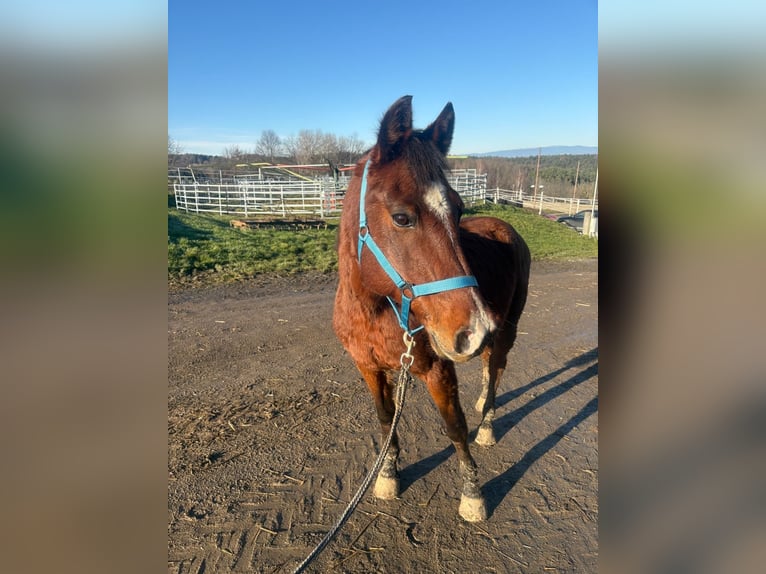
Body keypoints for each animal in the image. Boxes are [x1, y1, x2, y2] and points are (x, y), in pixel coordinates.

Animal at [332, 96, 530, 522]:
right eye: (402, 217)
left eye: (457, 210)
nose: (473, 329)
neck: (375, 310)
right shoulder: (368, 367)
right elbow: (386, 418)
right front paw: (388, 475)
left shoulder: (439, 369)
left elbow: (454, 427)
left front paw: (472, 495)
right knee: (489, 365)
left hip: (508, 329)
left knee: (497, 367)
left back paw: (487, 423)